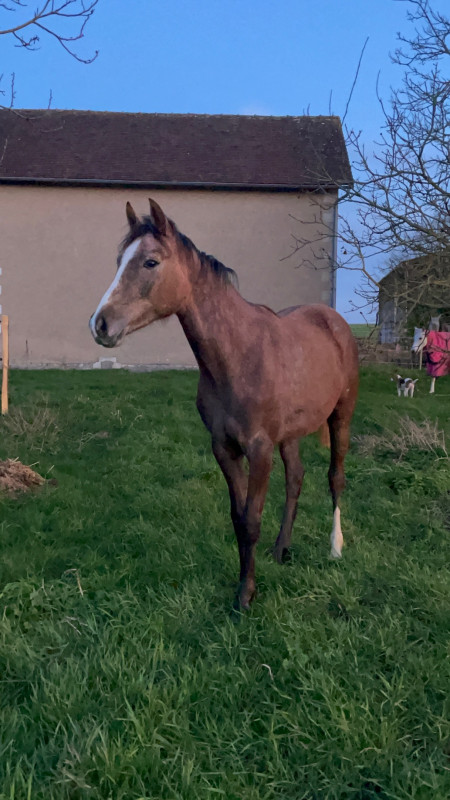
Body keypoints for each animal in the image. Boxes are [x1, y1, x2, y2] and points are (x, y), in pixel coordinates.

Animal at [90, 199, 359, 610]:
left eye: (151, 261)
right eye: (120, 259)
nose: (100, 324)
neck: (238, 354)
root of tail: (334, 320)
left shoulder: (259, 449)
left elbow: (252, 519)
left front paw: (246, 596)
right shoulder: (224, 447)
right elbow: (238, 517)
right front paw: (244, 583)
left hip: (340, 417)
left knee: (335, 477)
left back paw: (335, 548)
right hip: (290, 433)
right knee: (296, 477)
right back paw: (282, 549)